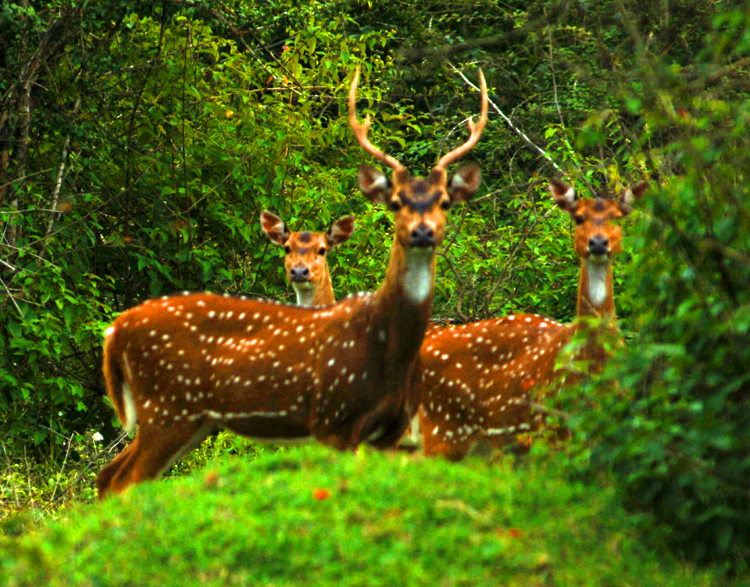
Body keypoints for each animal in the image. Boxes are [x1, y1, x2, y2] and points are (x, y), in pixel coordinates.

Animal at [96, 67, 488, 498]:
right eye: (396, 202)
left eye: (444, 202)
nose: (422, 232)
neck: (388, 343)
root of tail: (114, 332)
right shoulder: (334, 418)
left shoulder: (390, 431)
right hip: (169, 404)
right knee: (120, 479)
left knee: (110, 475)